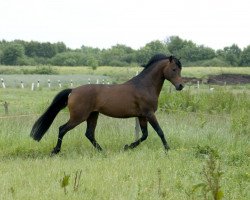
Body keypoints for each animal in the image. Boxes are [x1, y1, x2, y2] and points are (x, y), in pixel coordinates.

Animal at [30, 54, 184, 155]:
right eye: (174, 69)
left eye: (180, 69)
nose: (180, 86)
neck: (144, 86)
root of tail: (73, 91)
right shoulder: (149, 114)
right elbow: (159, 132)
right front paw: (168, 150)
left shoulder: (142, 116)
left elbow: (144, 135)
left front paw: (127, 146)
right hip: (79, 117)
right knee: (62, 129)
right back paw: (55, 151)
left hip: (93, 115)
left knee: (89, 134)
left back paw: (102, 151)